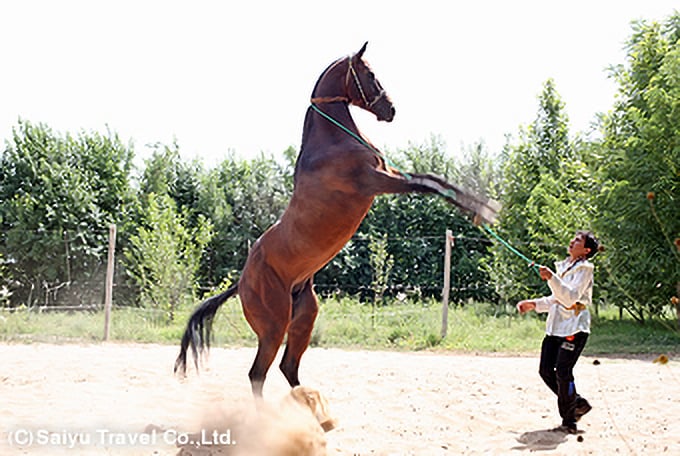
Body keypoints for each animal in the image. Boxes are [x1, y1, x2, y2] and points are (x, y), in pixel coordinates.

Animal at [175, 44, 500, 398]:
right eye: (370, 74)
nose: (391, 110)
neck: (332, 142)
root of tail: (241, 282)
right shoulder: (376, 181)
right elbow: (427, 185)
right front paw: (485, 211)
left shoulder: (389, 173)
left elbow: (432, 178)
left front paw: (484, 206)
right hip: (274, 326)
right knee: (258, 373)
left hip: (304, 317)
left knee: (288, 367)